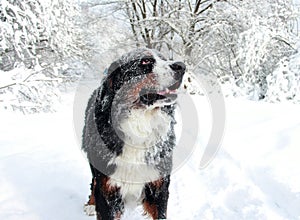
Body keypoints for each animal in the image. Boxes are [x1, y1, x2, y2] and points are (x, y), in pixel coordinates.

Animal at [82, 48, 185, 220]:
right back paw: (90, 204)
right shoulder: (108, 190)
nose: (182, 66)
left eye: (164, 59)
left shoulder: (159, 187)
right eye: (145, 61)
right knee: (93, 182)